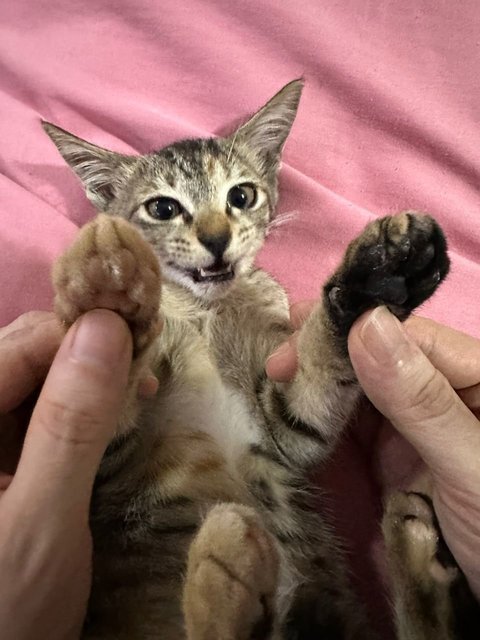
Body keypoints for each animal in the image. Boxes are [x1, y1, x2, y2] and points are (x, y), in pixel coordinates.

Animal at [43, 81, 466, 640]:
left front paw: (374, 280)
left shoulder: (286, 435)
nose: (217, 238)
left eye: (241, 196)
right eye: (163, 208)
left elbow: (318, 377)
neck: (206, 311)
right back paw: (230, 567)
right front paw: (110, 287)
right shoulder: (107, 468)